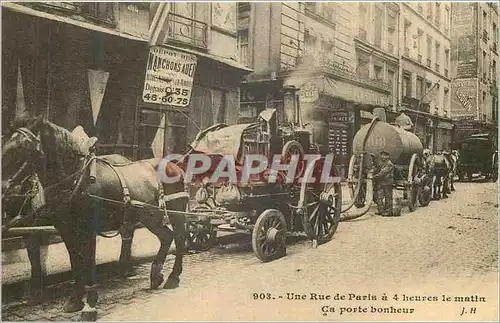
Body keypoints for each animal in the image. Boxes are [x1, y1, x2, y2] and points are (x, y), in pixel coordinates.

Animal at [1, 115, 189, 318]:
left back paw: (173, 277)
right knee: (167, 237)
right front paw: (75, 301)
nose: (4, 189)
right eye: (6, 141)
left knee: (179, 239)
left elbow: (89, 263)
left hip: (176, 213)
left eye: (23, 147)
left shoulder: (89, 230)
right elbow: (76, 263)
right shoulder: (67, 231)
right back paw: (156, 276)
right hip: (150, 217)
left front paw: (90, 305)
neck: (77, 179)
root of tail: (175, 165)